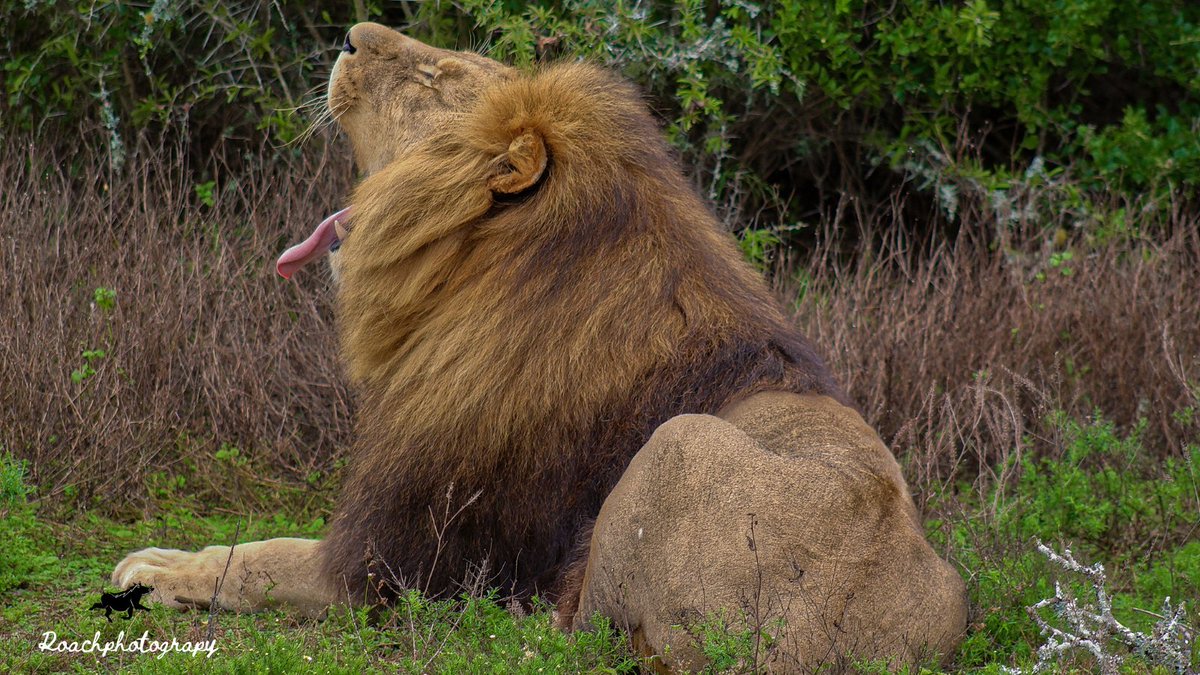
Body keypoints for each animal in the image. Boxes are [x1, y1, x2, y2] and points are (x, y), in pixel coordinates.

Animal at [112, 22, 966, 669]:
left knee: (584, 638)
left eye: (433, 76)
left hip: (678, 445)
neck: (470, 272)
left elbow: (258, 555)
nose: (352, 34)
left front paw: (152, 569)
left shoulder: (388, 557)